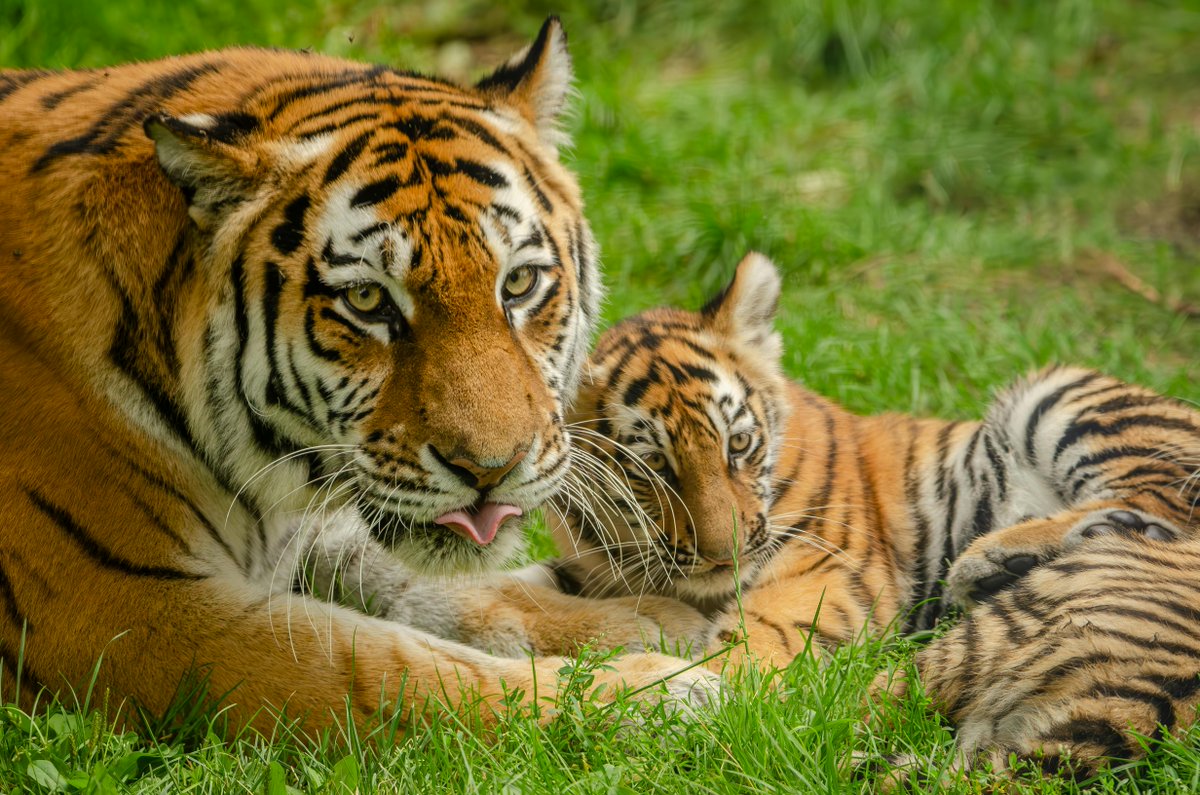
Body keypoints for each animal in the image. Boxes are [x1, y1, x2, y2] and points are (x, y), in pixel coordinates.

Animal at [0, 18, 720, 738]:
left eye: (518, 283)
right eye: (368, 300)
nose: (491, 470)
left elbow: (422, 582)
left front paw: (651, 621)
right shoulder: (130, 609)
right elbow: (396, 672)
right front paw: (666, 697)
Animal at [537, 251, 1200, 673]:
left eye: (739, 446)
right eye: (653, 467)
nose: (726, 554)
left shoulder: (832, 566)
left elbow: (765, 632)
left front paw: (706, 683)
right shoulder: (589, 566)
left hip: (1060, 395)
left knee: (1166, 503)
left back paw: (992, 558)